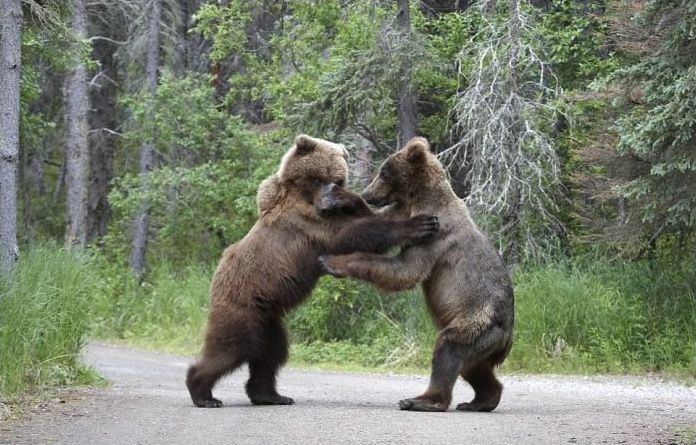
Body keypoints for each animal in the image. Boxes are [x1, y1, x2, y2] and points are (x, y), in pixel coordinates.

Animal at [185, 134, 436, 406]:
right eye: (318, 178)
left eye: (337, 179)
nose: (327, 204)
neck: (304, 195)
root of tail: (216, 278)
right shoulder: (307, 224)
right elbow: (352, 234)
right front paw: (418, 224)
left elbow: (360, 220)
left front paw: (352, 199)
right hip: (242, 305)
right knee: (233, 346)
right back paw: (203, 393)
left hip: (269, 317)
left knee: (272, 353)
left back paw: (271, 395)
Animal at [320, 136, 512, 412]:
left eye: (383, 172)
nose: (369, 193)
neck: (417, 199)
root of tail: (507, 339)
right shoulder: (402, 211)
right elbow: (377, 222)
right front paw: (341, 196)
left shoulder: (435, 235)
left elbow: (405, 270)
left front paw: (331, 261)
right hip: (483, 341)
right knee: (474, 368)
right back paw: (479, 400)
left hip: (477, 322)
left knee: (449, 349)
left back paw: (420, 400)